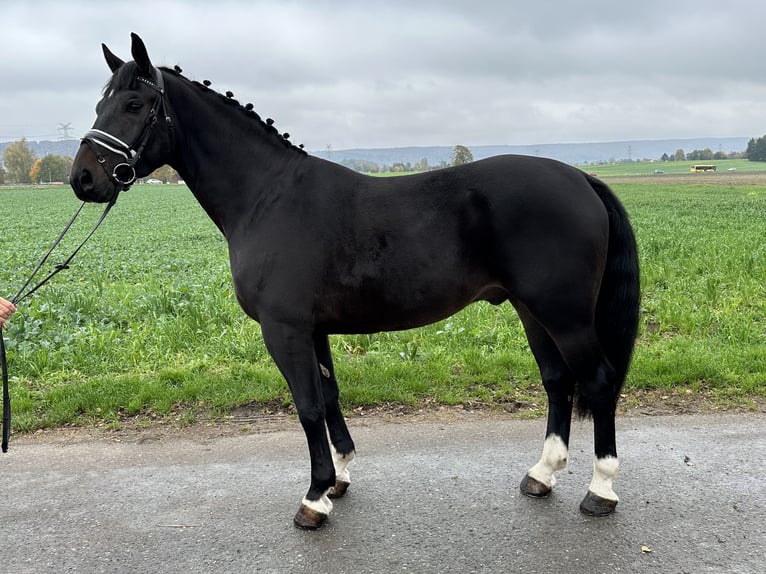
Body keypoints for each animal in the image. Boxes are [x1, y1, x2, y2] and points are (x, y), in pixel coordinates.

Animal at [70, 35, 640, 532]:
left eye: (135, 103)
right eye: (100, 102)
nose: (83, 178)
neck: (268, 197)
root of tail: (580, 177)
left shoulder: (285, 330)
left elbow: (306, 405)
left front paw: (314, 498)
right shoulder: (314, 329)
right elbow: (329, 395)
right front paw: (339, 477)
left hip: (565, 315)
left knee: (598, 381)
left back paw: (601, 489)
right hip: (532, 310)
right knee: (558, 381)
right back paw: (542, 474)